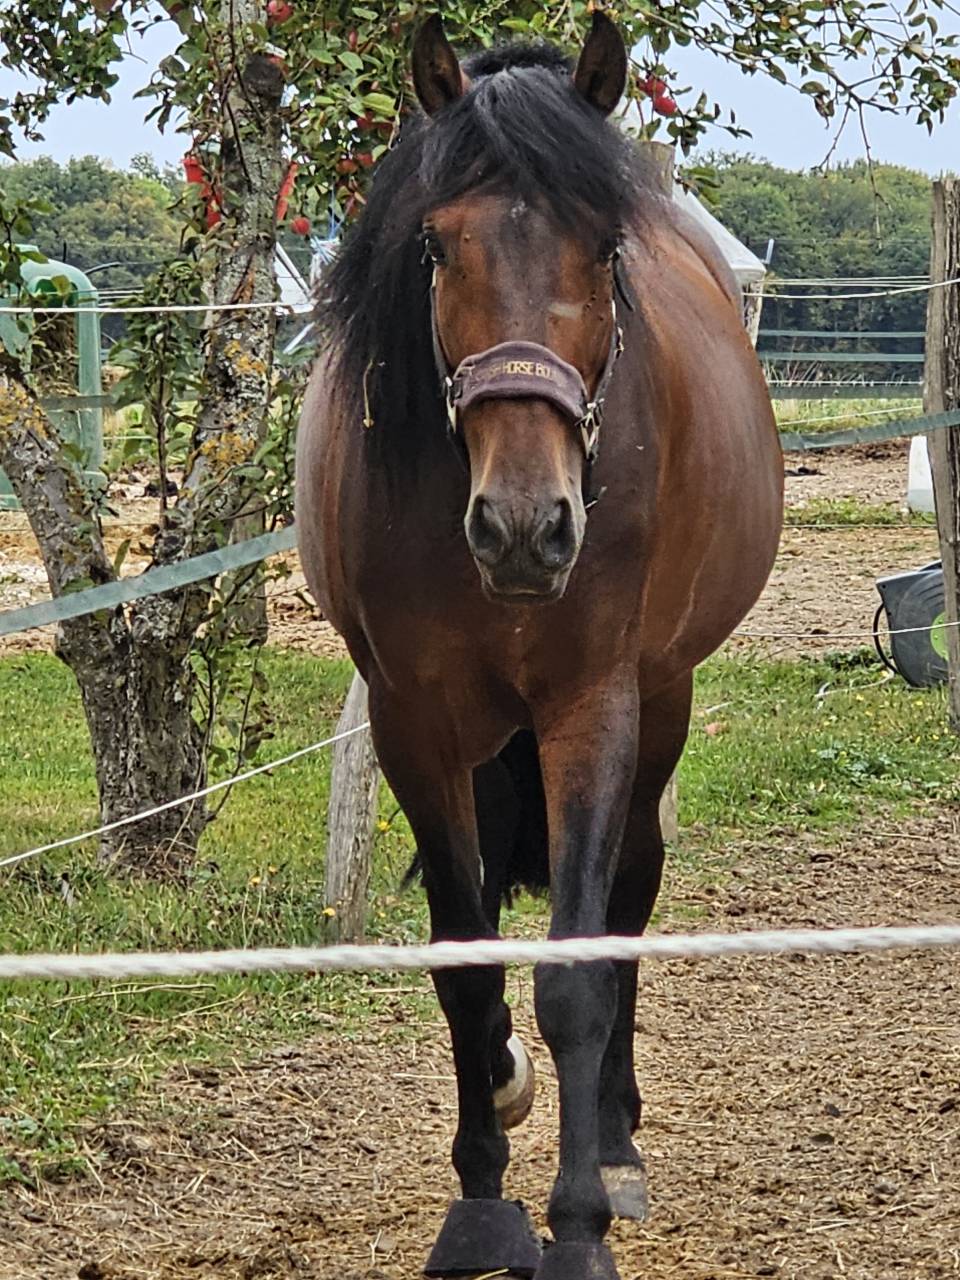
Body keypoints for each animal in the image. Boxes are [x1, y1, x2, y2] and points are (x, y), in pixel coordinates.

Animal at [296, 12, 782, 1279]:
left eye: (604, 250)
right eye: (435, 245)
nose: (526, 525)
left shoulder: (592, 706)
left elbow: (574, 972)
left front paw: (577, 1221)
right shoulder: (415, 721)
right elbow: (467, 967)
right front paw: (481, 1201)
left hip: (663, 700)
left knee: (631, 893)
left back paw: (615, 1139)